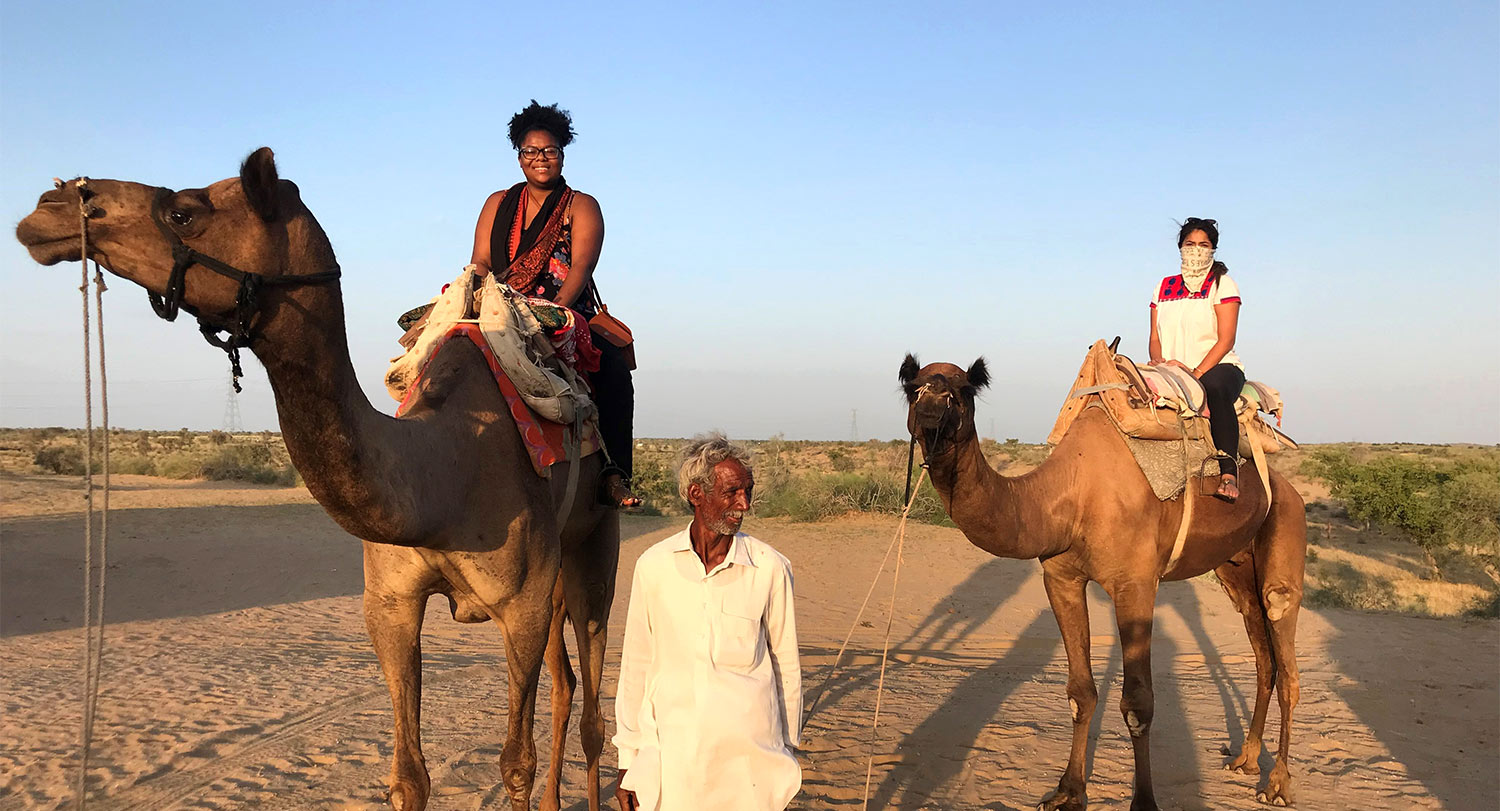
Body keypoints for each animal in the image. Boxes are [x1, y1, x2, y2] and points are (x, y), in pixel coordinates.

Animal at [16, 146, 615, 809]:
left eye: (184, 211)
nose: (50, 205)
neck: (437, 476)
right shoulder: (389, 604)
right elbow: (409, 775)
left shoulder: (523, 605)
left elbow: (515, 762)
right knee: (566, 687)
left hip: (592, 548)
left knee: (591, 706)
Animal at [894, 353, 1308, 809]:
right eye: (911, 388)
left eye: (964, 389)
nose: (931, 410)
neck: (1070, 495)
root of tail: (1290, 489)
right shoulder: (1061, 578)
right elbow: (1081, 692)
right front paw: (1068, 791)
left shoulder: (1136, 584)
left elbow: (1138, 703)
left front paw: (1143, 802)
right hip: (1234, 569)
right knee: (1263, 655)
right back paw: (1246, 759)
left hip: (1286, 527)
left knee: (1284, 643)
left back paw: (1277, 783)